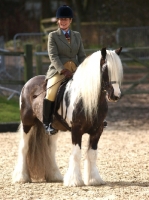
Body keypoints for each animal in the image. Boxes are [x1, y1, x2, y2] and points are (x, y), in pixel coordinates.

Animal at [12, 47, 123, 186]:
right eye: (105, 69)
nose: (116, 95)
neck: (86, 98)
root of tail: (29, 83)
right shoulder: (76, 130)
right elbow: (76, 154)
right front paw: (74, 181)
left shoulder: (97, 131)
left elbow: (92, 154)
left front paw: (94, 179)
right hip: (27, 123)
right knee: (24, 147)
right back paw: (21, 177)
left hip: (53, 128)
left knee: (51, 149)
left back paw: (54, 176)